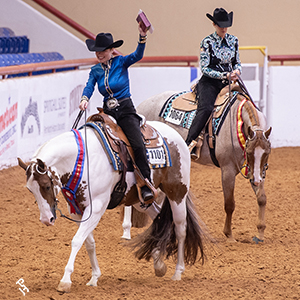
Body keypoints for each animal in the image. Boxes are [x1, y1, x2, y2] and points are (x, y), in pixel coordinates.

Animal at [17, 119, 204, 292]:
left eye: (46, 186)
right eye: (30, 189)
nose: (46, 219)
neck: (82, 160)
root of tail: (175, 134)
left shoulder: (96, 208)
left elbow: (77, 240)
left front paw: (65, 281)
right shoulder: (77, 210)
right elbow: (88, 242)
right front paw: (94, 277)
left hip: (177, 192)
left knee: (180, 228)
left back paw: (178, 272)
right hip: (141, 200)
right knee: (159, 219)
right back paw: (159, 264)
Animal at [125, 87, 272, 244]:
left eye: (267, 152)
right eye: (249, 152)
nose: (257, 180)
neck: (236, 123)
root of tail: (140, 107)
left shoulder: (254, 170)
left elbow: (262, 198)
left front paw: (260, 233)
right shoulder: (228, 170)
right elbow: (229, 204)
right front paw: (229, 235)